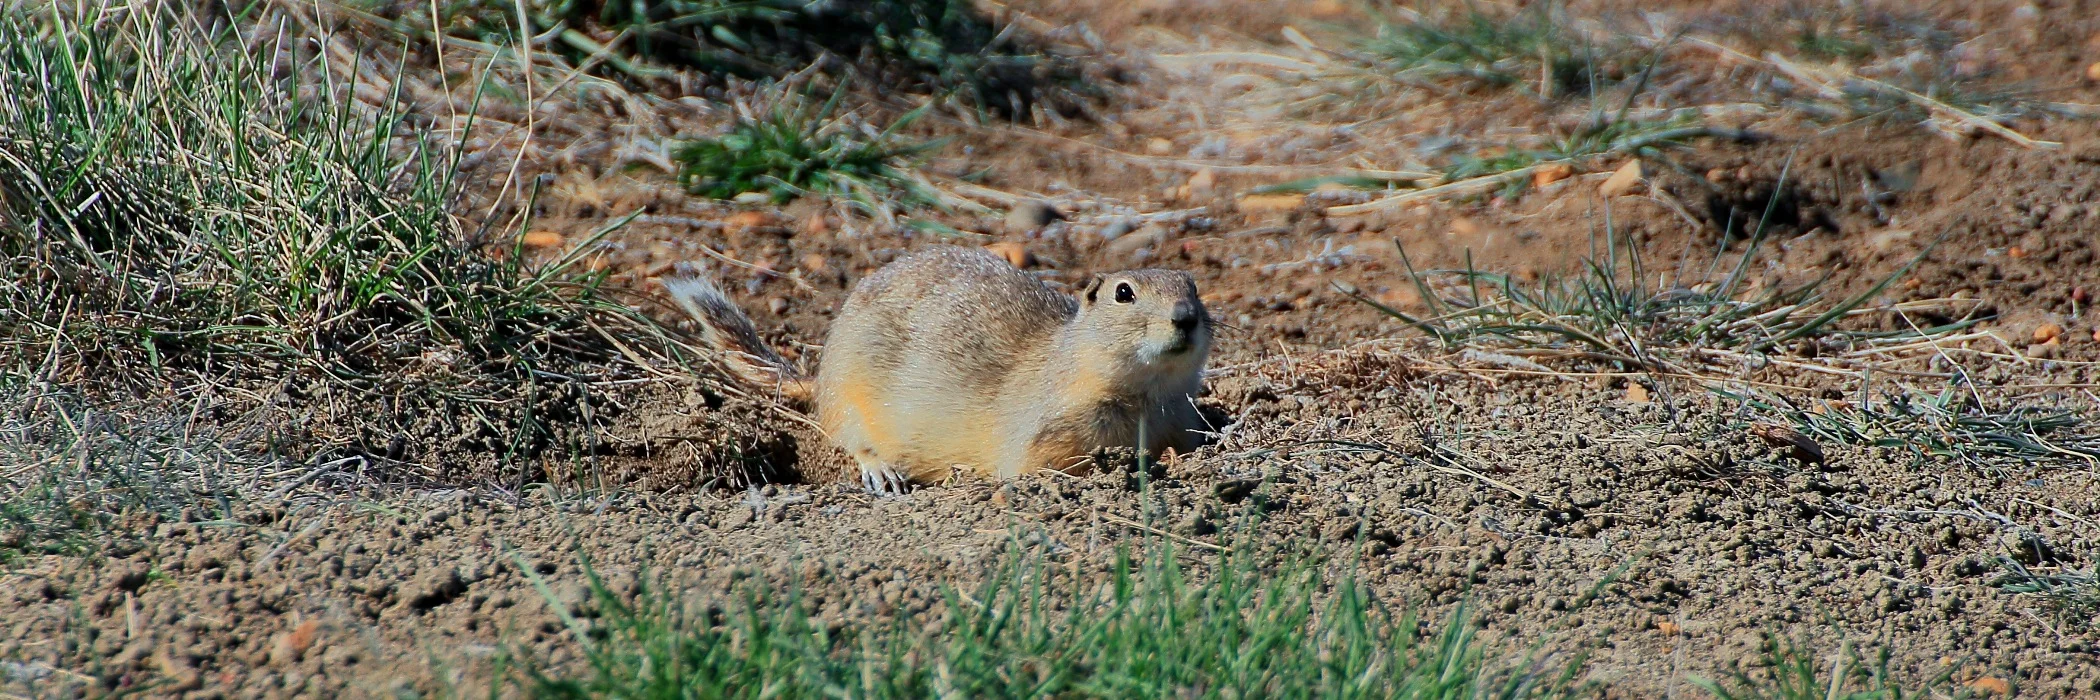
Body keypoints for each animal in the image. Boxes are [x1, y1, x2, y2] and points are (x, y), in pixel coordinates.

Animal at [663, 245, 1213, 494]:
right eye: (1124, 293)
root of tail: (818, 376)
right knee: (846, 436)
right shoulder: (1049, 435)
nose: (1186, 317)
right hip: (848, 393)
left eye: (1194, 287)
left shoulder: (1180, 419)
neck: (1143, 396)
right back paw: (883, 471)